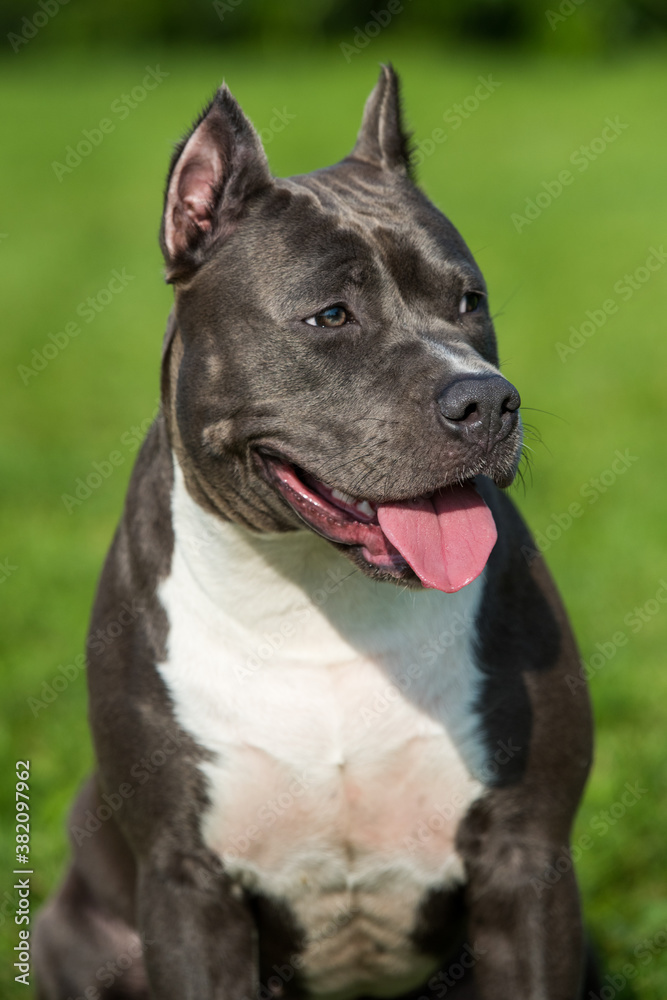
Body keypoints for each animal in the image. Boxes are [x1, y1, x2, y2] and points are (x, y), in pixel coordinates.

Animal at [34, 66, 596, 996]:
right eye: (329, 316)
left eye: (467, 301)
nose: (485, 399)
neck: (316, 594)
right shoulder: (188, 886)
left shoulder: (528, 860)